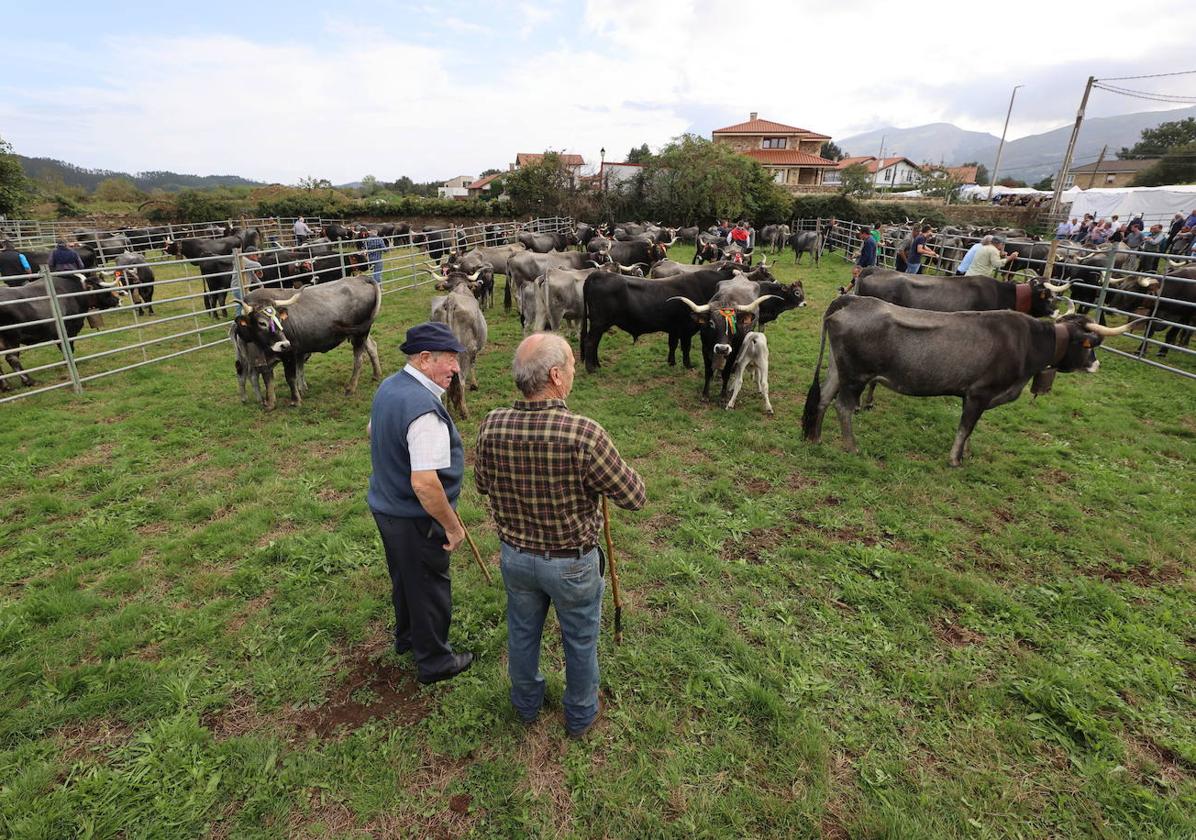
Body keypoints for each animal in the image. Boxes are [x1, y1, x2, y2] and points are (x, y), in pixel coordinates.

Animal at [430, 277, 485, 418]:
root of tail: (451, 301)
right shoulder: (474, 350)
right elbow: (473, 364)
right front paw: (474, 385)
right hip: (464, 352)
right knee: (461, 379)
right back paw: (464, 411)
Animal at [803, 296, 1129, 466]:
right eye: (1090, 345)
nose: (1096, 364)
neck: (1026, 342)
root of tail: (853, 300)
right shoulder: (978, 394)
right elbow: (965, 428)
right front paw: (955, 459)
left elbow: (971, 430)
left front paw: (966, 453)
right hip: (856, 376)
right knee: (843, 407)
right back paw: (852, 447)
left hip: (838, 369)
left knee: (824, 398)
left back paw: (815, 437)